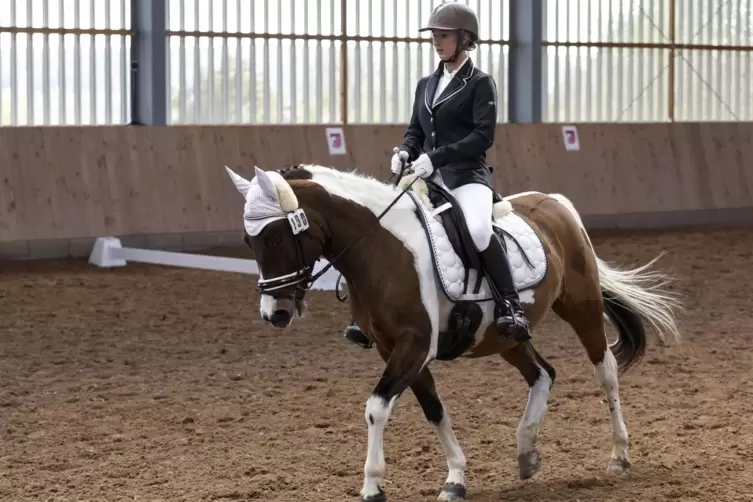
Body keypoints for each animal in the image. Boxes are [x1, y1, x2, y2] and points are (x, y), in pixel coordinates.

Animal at [223, 162, 680, 502]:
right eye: (248, 241)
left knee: (606, 373)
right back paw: (526, 452)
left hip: (582, 308)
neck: (381, 250)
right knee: (542, 373)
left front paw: (372, 486)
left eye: (277, 237)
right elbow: (433, 408)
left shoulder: (413, 345)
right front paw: (456, 478)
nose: (275, 314)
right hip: (504, 335)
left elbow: (376, 408)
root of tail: (556, 203)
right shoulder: (395, 349)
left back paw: (619, 457)